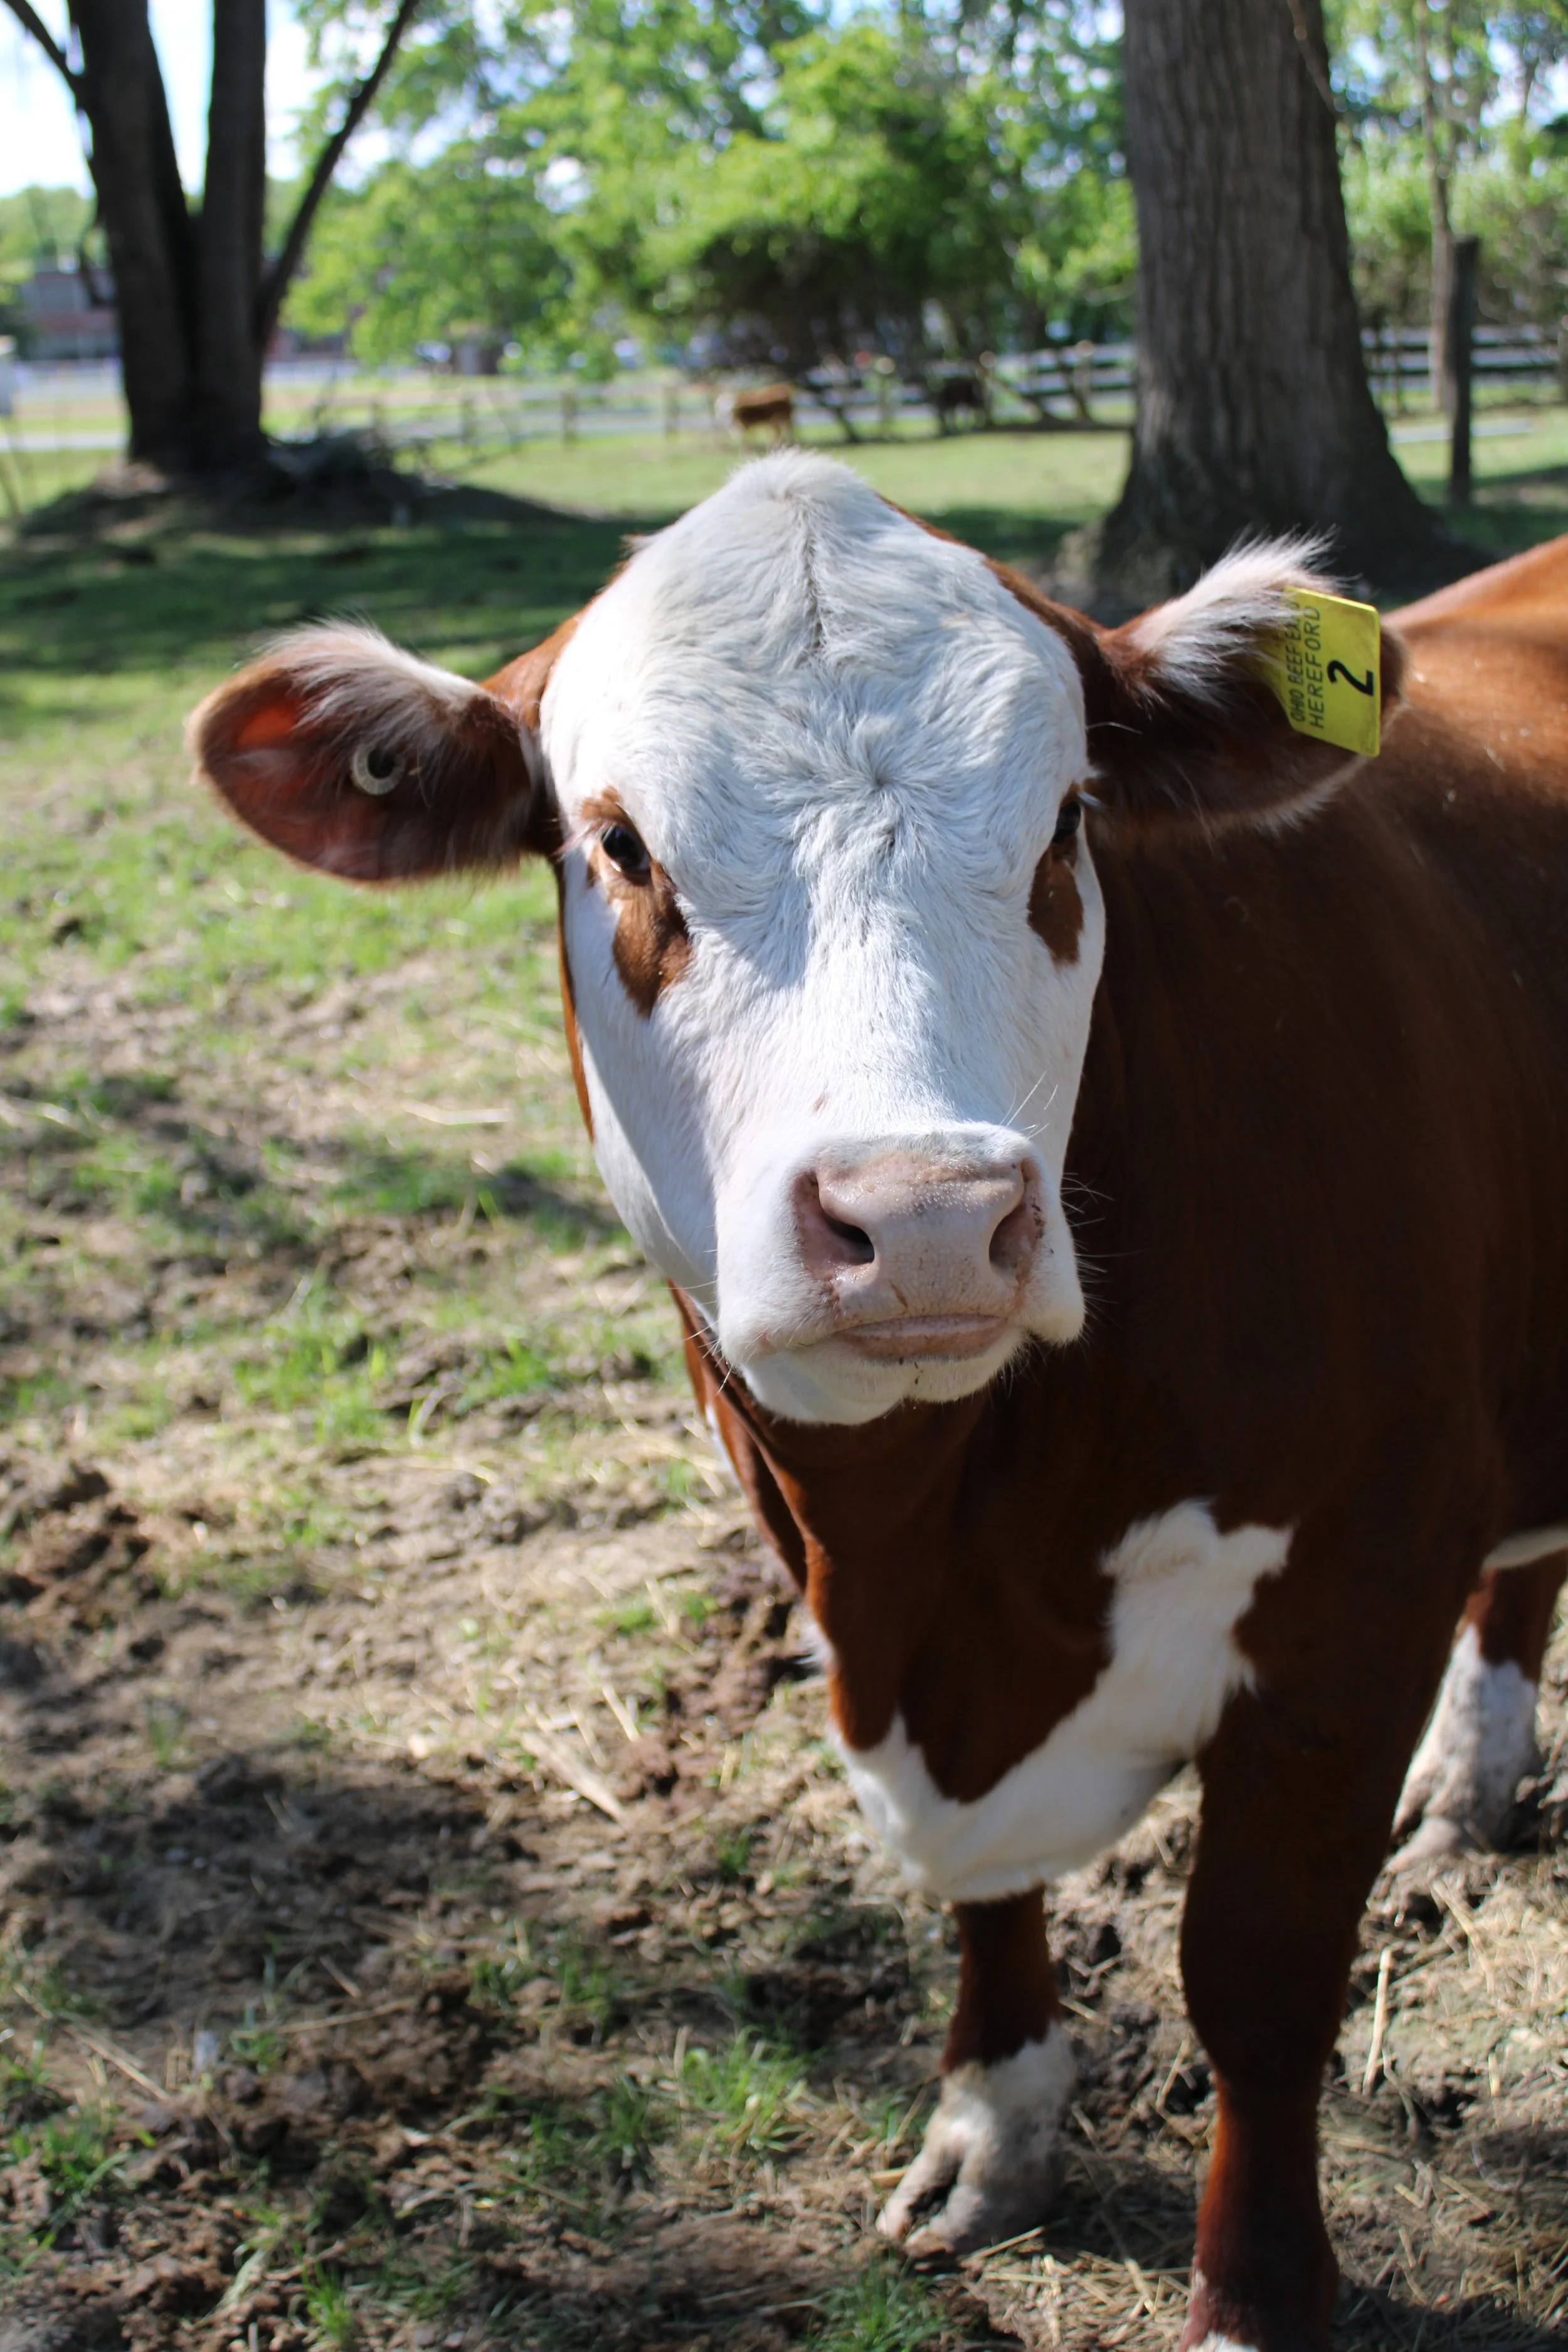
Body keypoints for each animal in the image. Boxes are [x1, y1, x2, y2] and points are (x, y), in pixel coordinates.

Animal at [188, 454, 1568, 2352]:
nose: (918, 1214)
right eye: (618, 843)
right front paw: (991, 2129)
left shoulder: (1351, 1597)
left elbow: (1258, 1974)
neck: (949, 1546)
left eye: (1065, 819)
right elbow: (985, 1898)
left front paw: (1254, 2291)